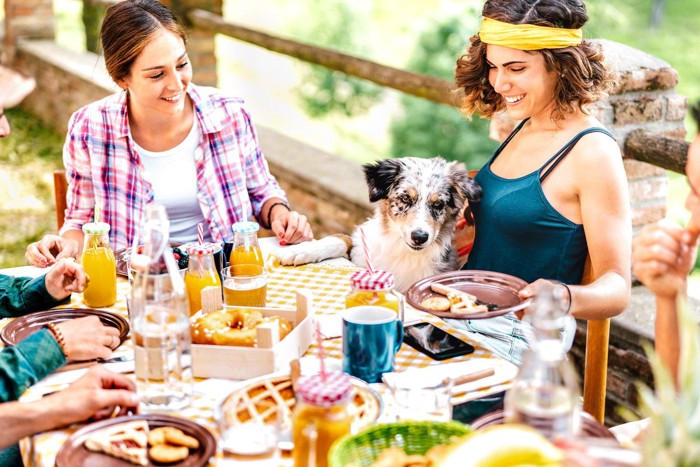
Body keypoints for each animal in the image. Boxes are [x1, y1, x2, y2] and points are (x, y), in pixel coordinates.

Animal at [274, 157, 482, 292]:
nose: (419, 237)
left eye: (438, 204)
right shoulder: (360, 248)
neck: (401, 250)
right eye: (405, 198)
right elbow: (339, 238)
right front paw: (302, 250)